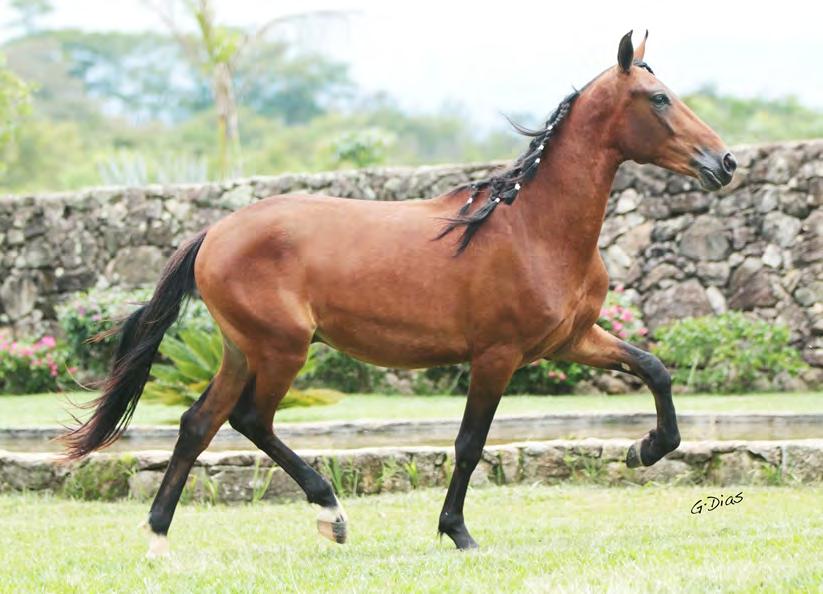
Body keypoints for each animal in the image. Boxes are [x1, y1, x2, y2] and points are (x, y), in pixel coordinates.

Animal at [62, 28, 732, 556]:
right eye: (659, 98)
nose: (723, 162)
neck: (534, 227)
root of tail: (214, 233)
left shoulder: (571, 341)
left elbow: (654, 369)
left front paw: (646, 450)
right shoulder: (497, 356)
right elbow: (469, 443)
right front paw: (457, 532)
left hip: (241, 350)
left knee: (198, 423)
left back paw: (157, 537)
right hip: (281, 349)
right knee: (251, 419)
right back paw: (330, 514)